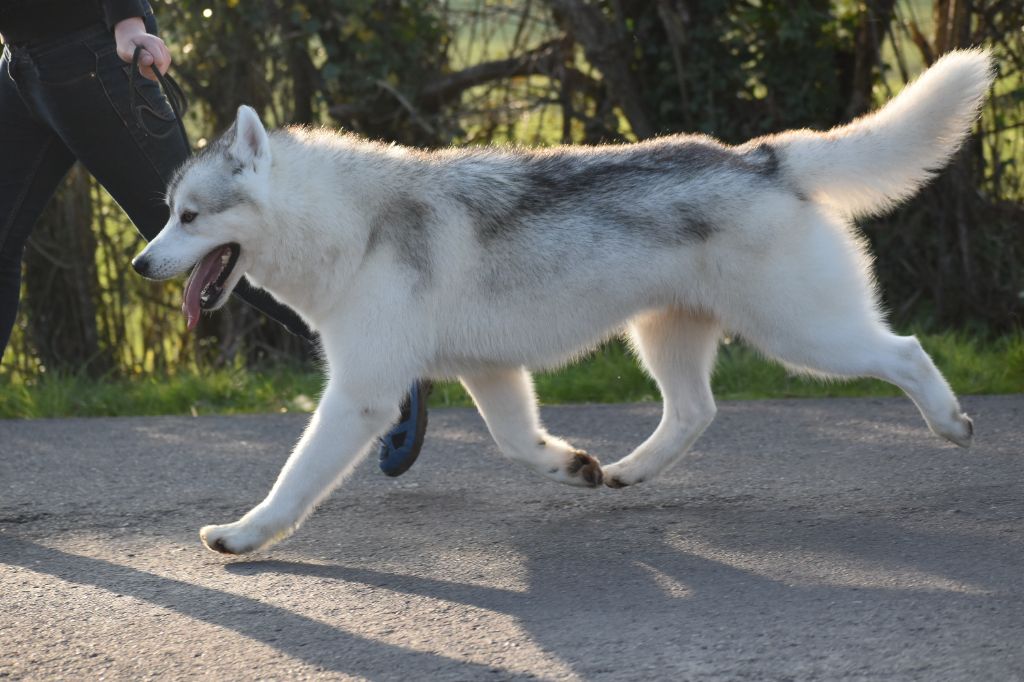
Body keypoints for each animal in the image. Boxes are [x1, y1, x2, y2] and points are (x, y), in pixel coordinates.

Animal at [136, 51, 991, 552]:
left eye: (191, 217)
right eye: (167, 211)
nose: (142, 263)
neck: (349, 220)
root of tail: (761, 157)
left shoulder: (362, 396)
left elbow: (295, 478)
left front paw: (246, 534)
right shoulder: (490, 373)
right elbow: (520, 444)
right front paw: (570, 466)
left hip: (805, 335)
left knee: (906, 352)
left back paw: (950, 423)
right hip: (667, 338)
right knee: (695, 412)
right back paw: (629, 471)